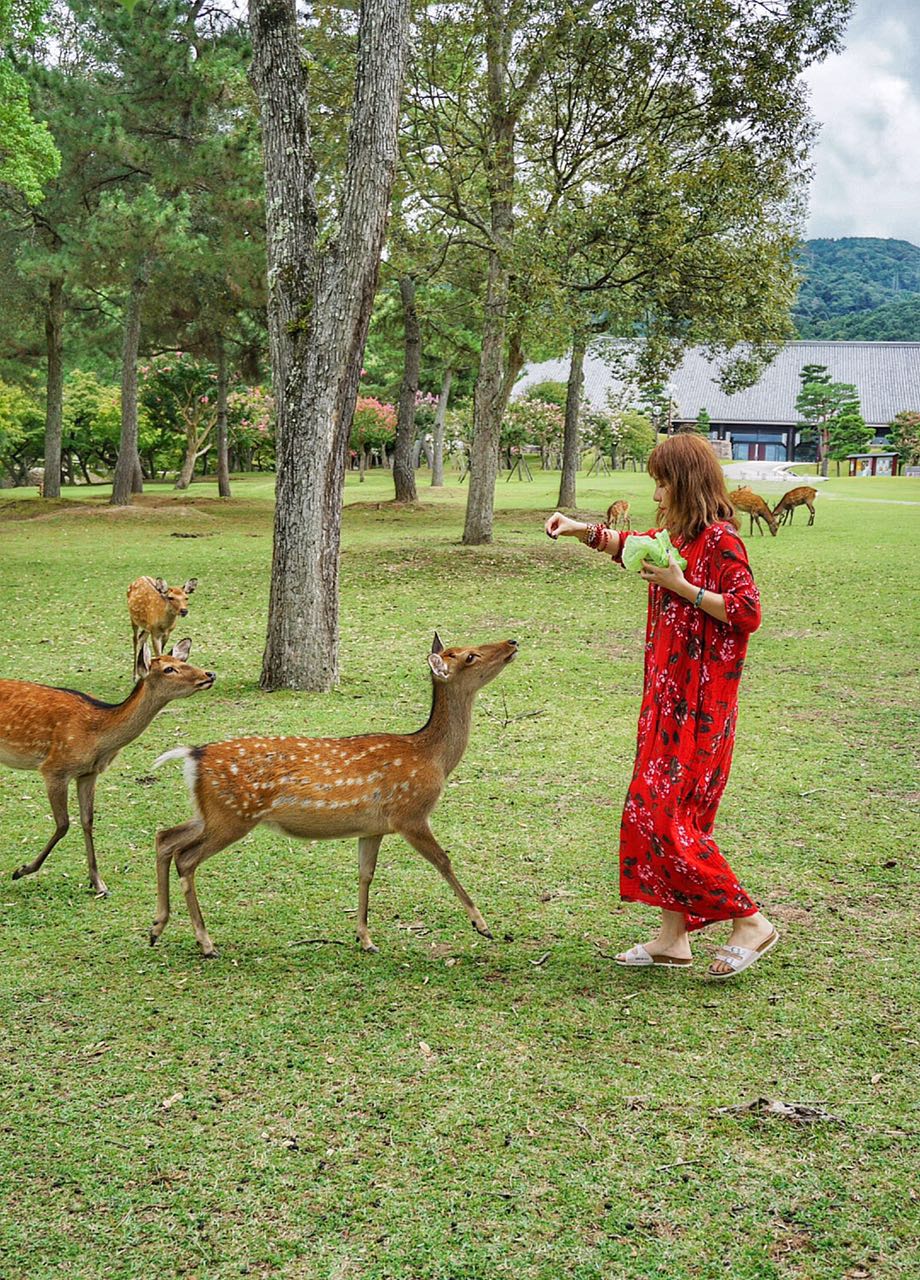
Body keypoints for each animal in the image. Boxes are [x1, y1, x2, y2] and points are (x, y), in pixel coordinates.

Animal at [2, 640, 213, 901]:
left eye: (182, 661)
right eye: (168, 669)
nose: (209, 674)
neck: (98, 736)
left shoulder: (88, 773)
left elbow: (87, 821)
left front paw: (98, 883)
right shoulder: (54, 768)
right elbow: (63, 824)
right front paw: (22, 870)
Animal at [147, 634, 514, 957]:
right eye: (470, 656)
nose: (511, 642)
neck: (432, 758)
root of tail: (193, 755)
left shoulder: (373, 828)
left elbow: (366, 874)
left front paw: (365, 939)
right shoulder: (409, 814)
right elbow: (443, 861)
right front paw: (482, 924)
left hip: (211, 813)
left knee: (165, 837)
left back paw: (156, 928)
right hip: (232, 817)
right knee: (186, 858)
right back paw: (206, 943)